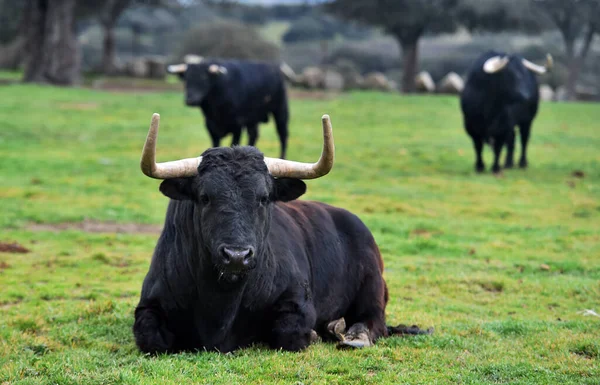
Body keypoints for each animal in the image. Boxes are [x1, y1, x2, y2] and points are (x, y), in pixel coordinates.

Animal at [132, 112, 432, 352]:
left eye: (264, 198)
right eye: (205, 197)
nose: (237, 256)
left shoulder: (297, 301)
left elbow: (288, 334)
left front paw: (315, 334)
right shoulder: (148, 307)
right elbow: (151, 339)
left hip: (372, 285)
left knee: (374, 321)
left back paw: (350, 334)